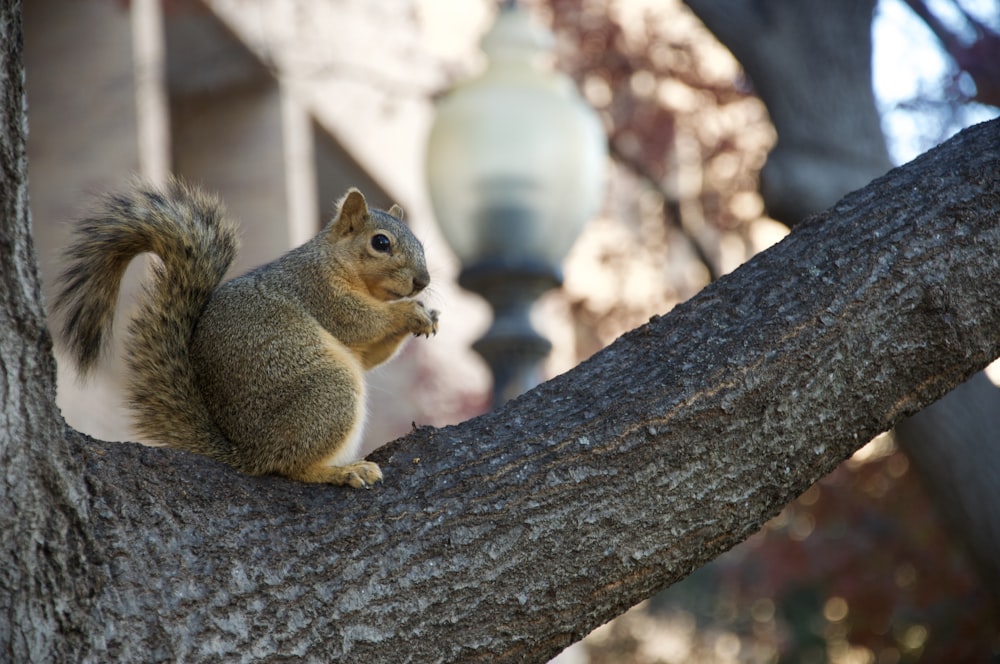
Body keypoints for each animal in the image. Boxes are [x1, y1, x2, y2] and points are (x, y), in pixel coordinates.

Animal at [53, 178, 438, 488]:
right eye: (381, 243)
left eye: (422, 244)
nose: (423, 281)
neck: (335, 261)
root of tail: (248, 453)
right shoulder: (317, 290)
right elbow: (359, 323)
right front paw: (409, 311)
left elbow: (370, 354)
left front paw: (428, 317)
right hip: (330, 392)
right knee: (289, 465)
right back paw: (342, 471)